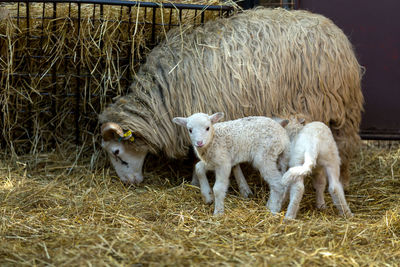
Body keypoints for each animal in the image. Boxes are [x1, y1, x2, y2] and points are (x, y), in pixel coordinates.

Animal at [98, 7, 364, 186]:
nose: (129, 182)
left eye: (116, 152)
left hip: (335, 105)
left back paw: (342, 182)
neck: (163, 95)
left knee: (345, 145)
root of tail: (336, 34)